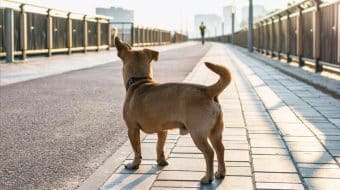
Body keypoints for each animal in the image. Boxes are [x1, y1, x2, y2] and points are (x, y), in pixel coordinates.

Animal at [114, 37, 231, 184]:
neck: (140, 81)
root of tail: (207, 90)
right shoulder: (162, 131)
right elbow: (159, 147)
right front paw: (161, 161)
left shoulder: (132, 129)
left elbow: (137, 150)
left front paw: (134, 164)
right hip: (215, 132)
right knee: (220, 149)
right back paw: (220, 172)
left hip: (198, 134)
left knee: (209, 153)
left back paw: (207, 177)